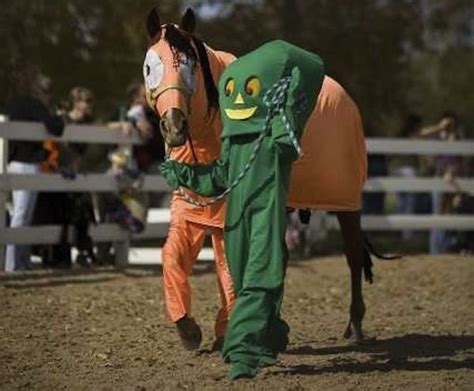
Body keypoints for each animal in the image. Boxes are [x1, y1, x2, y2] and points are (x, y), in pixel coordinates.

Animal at [143, 5, 392, 344]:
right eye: (148, 68)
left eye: (190, 65)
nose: (174, 126)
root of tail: (347, 102)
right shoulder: (190, 212)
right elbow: (172, 257)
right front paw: (189, 329)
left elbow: (227, 265)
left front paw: (227, 329)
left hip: (346, 201)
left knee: (353, 256)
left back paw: (354, 325)